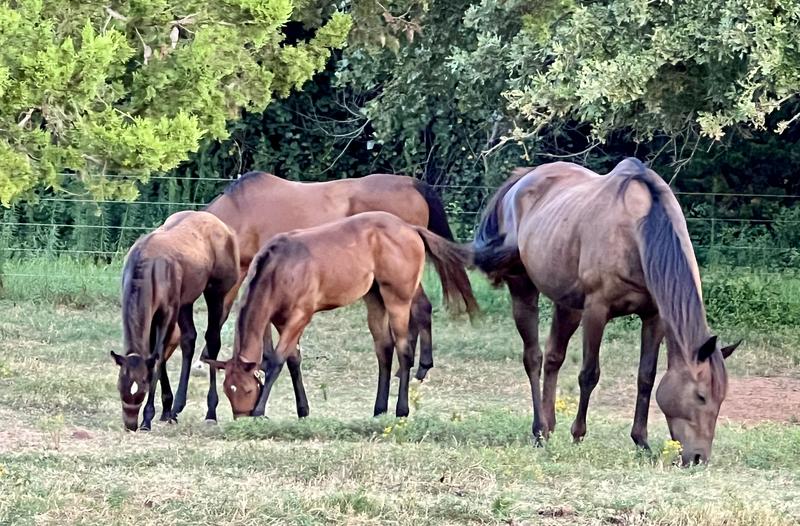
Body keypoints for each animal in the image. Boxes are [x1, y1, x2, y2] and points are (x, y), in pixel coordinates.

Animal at [110, 211, 239, 431]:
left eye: (143, 387)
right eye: (120, 386)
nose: (130, 424)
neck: (149, 268)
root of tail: (224, 228)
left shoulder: (167, 313)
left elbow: (158, 356)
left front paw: (147, 417)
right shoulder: (154, 316)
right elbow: (156, 354)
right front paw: (165, 409)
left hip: (216, 293)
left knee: (213, 341)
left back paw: (210, 412)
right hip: (185, 302)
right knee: (189, 339)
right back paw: (176, 408)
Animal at [202, 172, 457, 383]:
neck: (242, 211)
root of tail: (411, 184)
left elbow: (227, 314)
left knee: (419, 308)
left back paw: (419, 368)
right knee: (419, 308)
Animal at [205, 211, 479, 419]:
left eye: (247, 390)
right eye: (228, 391)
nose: (241, 418)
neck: (280, 268)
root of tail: (410, 228)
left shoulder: (300, 317)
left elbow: (275, 362)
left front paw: (261, 410)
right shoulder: (277, 320)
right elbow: (291, 360)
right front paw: (303, 410)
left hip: (398, 299)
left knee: (403, 350)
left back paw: (401, 409)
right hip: (374, 298)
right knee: (384, 349)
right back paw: (379, 409)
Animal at [472, 158, 740, 464]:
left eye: (721, 399)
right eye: (700, 396)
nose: (698, 458)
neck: (638, 232)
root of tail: (522, 179)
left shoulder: (654, 317)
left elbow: (646, 377)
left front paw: (641, 441)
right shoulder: (596, 311)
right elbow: (589, 374)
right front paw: (578, 435)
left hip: (567, 304)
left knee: (553, 358)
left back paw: (549, 427)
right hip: (524, 289)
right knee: (534, 358)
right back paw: (539, 430)